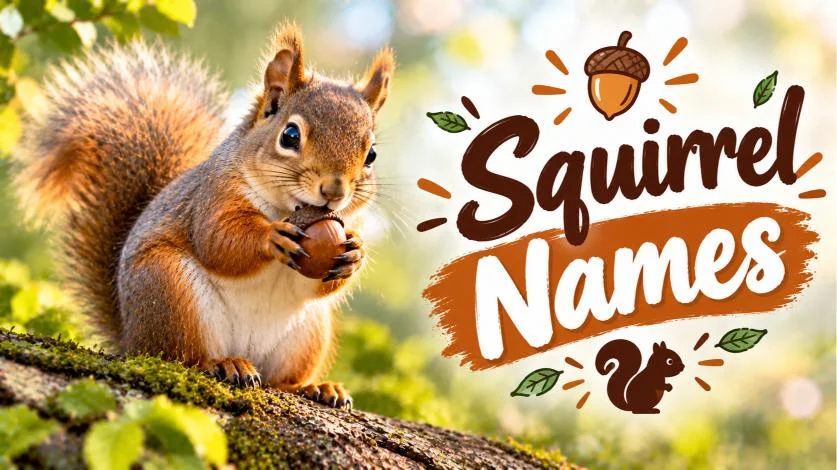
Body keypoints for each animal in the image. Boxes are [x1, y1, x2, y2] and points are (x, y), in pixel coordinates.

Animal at [14, 23, 394, 409]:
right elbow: (217, 241)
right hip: (169, 291)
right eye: (289, 135)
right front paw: (271, 236)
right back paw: (224, 364)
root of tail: (130, 337)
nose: (334, 191)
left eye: (372, 155)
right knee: (182, 357)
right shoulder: (211, 198)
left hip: (309, 332)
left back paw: (314, 387)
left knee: (281, 379)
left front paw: (355, 252)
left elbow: (322, 283)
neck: (288, 208)